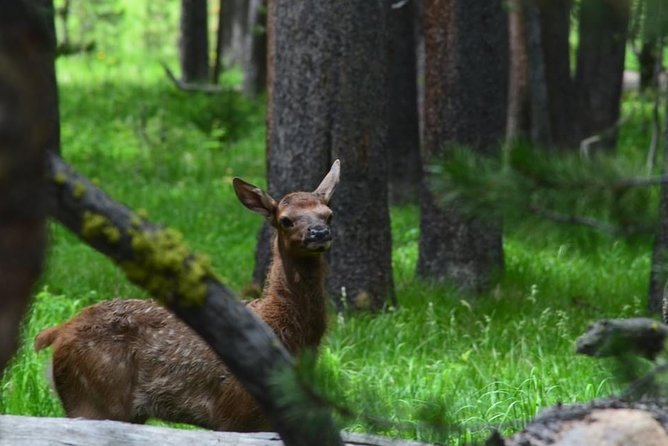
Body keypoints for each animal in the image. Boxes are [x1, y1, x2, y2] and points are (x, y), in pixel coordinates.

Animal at [34, 160, 342, 432]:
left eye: (329, 214)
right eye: (285, 220)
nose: (319, 232)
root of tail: (59, 331)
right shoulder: (235, 411)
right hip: (95, 397)